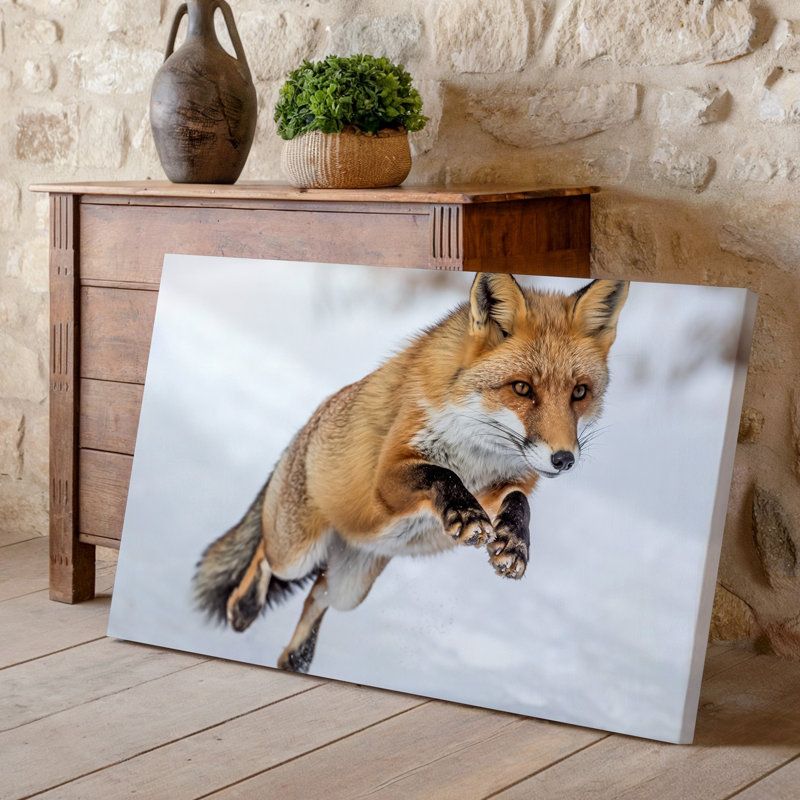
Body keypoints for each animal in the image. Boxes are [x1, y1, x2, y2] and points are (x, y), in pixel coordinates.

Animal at [193, 272, 628, 673]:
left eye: (579, 393)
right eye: (522, 388)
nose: (563, 459)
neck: (475, 450)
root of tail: (305, 429)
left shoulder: (501, 485)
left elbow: (519, 501)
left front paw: (515, 543)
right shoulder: (387, 481)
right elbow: (440, 475)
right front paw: (465, 514)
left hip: (350, 589)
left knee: (317, 593)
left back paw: (296, 659)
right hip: (296, 553)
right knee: (264, 557)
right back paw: (243, 609)